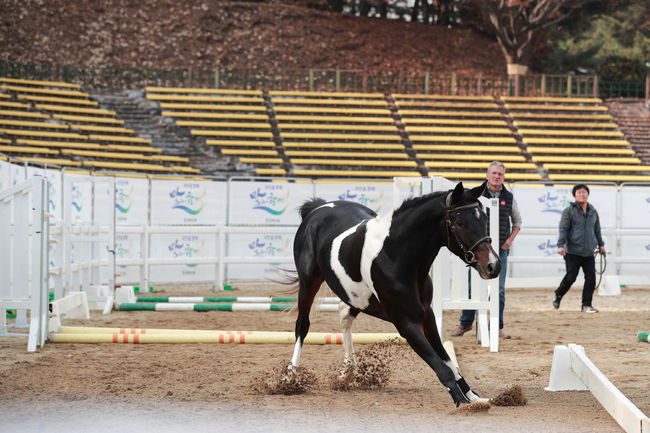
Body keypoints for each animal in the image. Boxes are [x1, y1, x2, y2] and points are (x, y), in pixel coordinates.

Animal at [286, 179, 498, 404]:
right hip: (309, 282)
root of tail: (317, 208)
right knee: (302, 325)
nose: (493, 266)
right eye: (460, 223)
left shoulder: (426, 317)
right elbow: (441, 366)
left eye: (485, 218)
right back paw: (290, 377)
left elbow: (448, 361)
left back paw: (346, 373)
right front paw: (461, 400)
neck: (397, 255)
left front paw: (473, 396)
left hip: (357, 297)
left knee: (344, 314)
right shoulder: (406, 324)